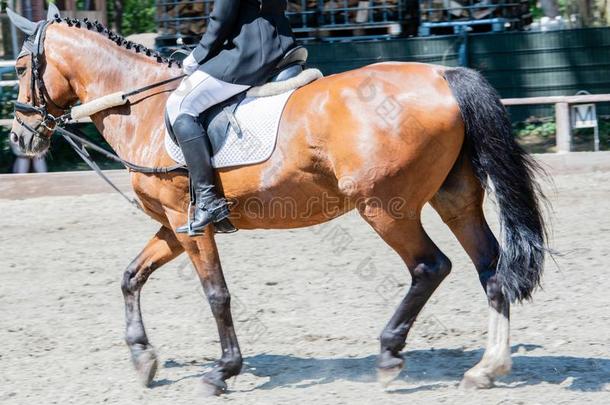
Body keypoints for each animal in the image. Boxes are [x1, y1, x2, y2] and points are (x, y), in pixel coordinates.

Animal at [9, 15, 548, 394]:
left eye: (17, 67)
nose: (20, 137)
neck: (142, 110)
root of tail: (443, 74)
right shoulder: (175, 226)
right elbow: (130, 276)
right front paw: (143, 359)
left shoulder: (192, 223)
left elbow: (216, 294)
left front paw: (222, 371)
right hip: (453, 199)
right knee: (492, 269)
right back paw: (486, 369)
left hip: (384, 206)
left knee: (430, 266)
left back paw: (390, 354)